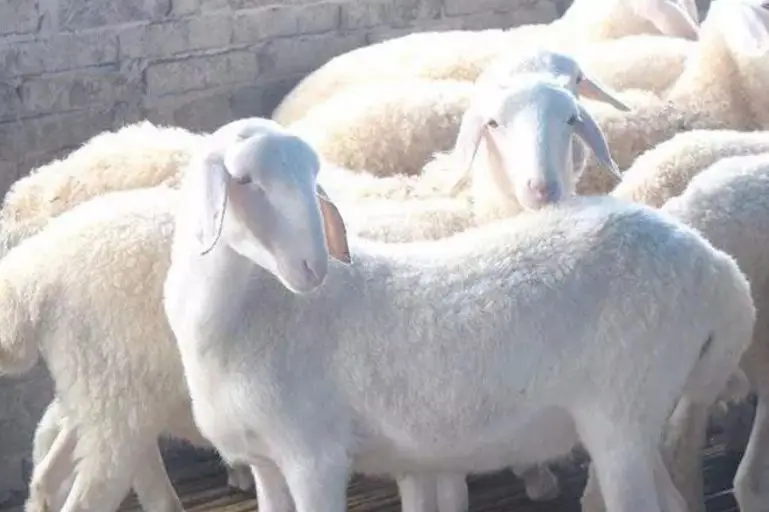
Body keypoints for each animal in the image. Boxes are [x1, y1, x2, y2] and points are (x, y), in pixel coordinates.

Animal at [163, 115, 755, 512]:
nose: (313, 267)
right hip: (642, 412)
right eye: (244, 180)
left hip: (622, 412)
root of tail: (717, 268)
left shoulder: (314, 457)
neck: (249, 317)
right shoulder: (265, 461)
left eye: (313, 178)